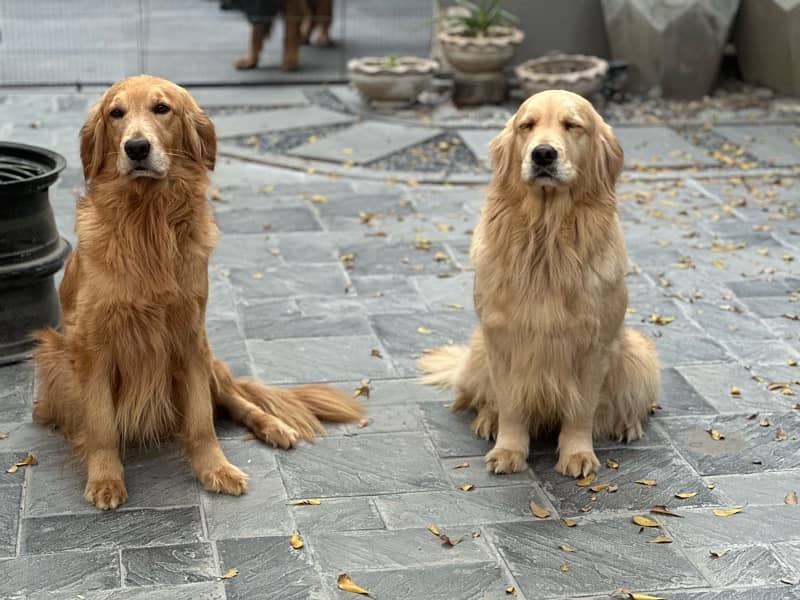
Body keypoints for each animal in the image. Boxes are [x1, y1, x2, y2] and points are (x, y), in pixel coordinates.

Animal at [32, 72, 360, 508]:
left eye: (162, 108)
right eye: (116, 113)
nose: (136, 147)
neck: (147, 221)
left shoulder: (188, 334)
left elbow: (202, 419)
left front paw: (215, 468)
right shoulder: (92, 345)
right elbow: (101, 423)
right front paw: (105, 479)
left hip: (210, 357)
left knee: (237, 400)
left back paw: (273, 426)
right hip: (52, 357)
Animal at [418, 89, 656, 480]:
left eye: (572, 125)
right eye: (526, 125)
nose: (543, 154)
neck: (547, 237)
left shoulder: (593, 346)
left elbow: (582, 411)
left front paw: (577, 454)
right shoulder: (503, 341)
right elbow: (512, 405)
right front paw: (509, 450)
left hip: (638, 350)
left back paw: (626, 424)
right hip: (479, 348)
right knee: (484, 399)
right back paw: (488, 420)